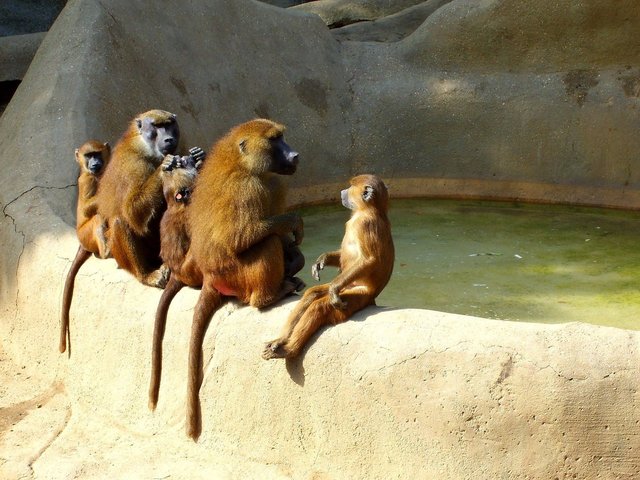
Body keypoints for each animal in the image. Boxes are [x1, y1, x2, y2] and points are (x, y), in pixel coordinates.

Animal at [95, 109, 180, 288]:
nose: (169, 139)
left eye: (169, 124)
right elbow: (132, 213)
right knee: (120, 221)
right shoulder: (133, 165)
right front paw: (164, 167)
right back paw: (146, 276)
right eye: (157, 126)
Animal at [183, 118, 303, 440]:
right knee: (266, 244)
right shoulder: (249, 188)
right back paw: (271, 295)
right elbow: (239, 238)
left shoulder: (273, 183)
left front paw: (296, 253)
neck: (245, 164)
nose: (295, 155)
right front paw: (295, 223)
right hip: (236, 276)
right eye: (275, 140)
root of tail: (209, 277)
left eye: (283, 137)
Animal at [262, 174, 394, 360]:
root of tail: (371, 298)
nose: (342, 192)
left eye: (350, 186)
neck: (367, 211)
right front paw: (320, 261)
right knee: (311, 294)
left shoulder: (366, 224)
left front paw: (332, 289)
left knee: (320, 306)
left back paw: (289, 350)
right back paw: (281, 340)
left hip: (356, 296)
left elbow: (369, 260)